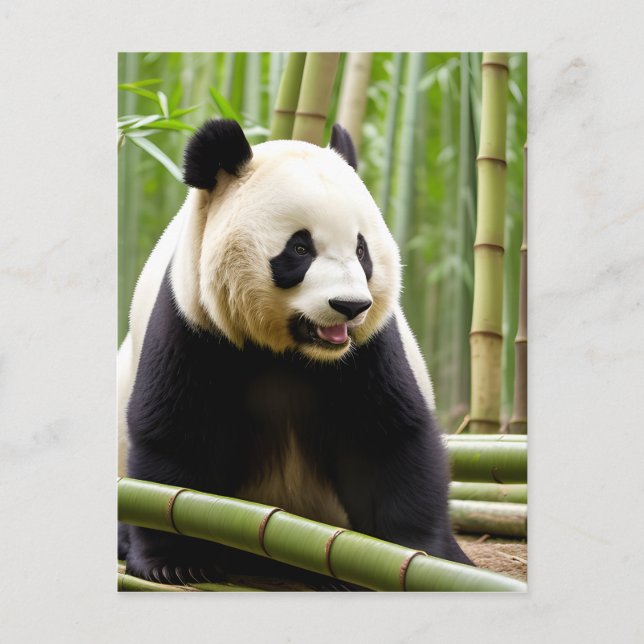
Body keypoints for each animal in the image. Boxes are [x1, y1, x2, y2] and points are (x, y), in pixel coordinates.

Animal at [118, 119, 472, 588]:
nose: (349, 306)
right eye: (300, 248)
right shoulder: (195, 323)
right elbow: (176, 437)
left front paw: (418, 557)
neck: (293, 353)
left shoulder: (368, 350)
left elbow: (389, 440)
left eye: (361, 250)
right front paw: (174, 561)